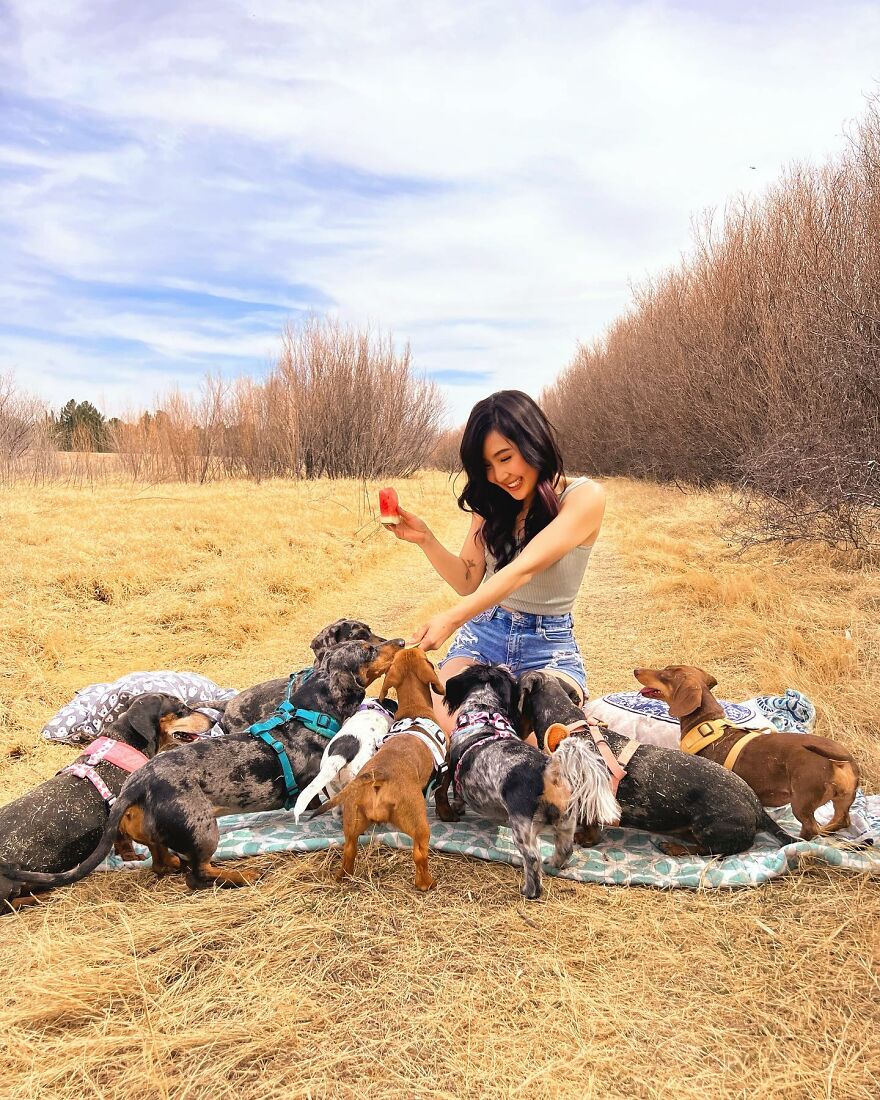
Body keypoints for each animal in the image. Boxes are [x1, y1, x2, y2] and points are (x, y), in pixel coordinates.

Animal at [310, 648, 448, 891]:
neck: (414, 709)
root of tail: (376, 777)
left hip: (352, 824)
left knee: (349, 850)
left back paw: (344, 877)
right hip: (419, 827)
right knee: (419, 854)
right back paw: (426, 883)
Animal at [434, 664, 576, 899]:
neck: (484, 712)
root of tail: (546, 771)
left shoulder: (453, 766)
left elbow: (457, 792)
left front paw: (457, 807)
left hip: (522, 828)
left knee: (532, 858)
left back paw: (530, 890)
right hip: (566, 822)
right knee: (565, 849)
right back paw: (554, 863)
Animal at [519, 670, 799, 856]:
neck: (568, 726)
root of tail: (758, 808)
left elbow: (589, 831)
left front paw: (582, 839)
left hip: (708, 829)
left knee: (708, 851)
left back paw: (674, 847)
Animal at [634, 665, 860, 840]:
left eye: (665, 673)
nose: (636, 670)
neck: (706, 725)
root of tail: (839, 758)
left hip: (801, 803)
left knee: (811, 829)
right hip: (843, 801)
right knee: (841, 821)